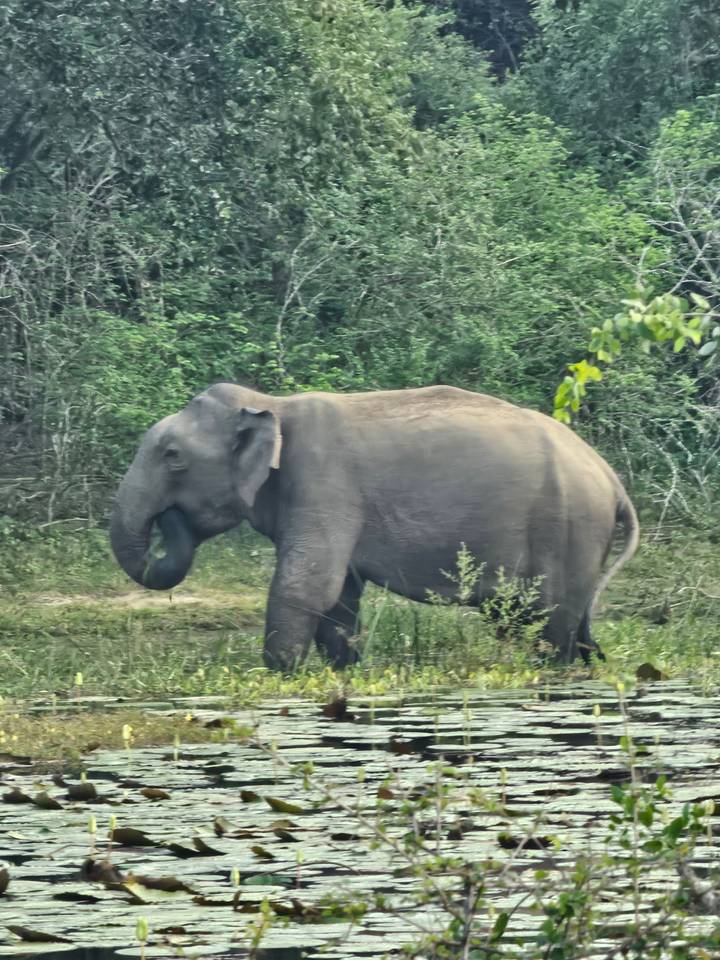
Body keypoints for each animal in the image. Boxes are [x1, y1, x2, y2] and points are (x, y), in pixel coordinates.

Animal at [110, 383, 639, 671]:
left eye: (172, 456)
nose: (170, 518)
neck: (270, 403)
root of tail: (613, 481)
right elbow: (339, 598)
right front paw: (343, 670)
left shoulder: (323, 483)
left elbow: (306, 586)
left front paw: (280, 675)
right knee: (559, 625)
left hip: (568, 528)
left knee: (549, 624)